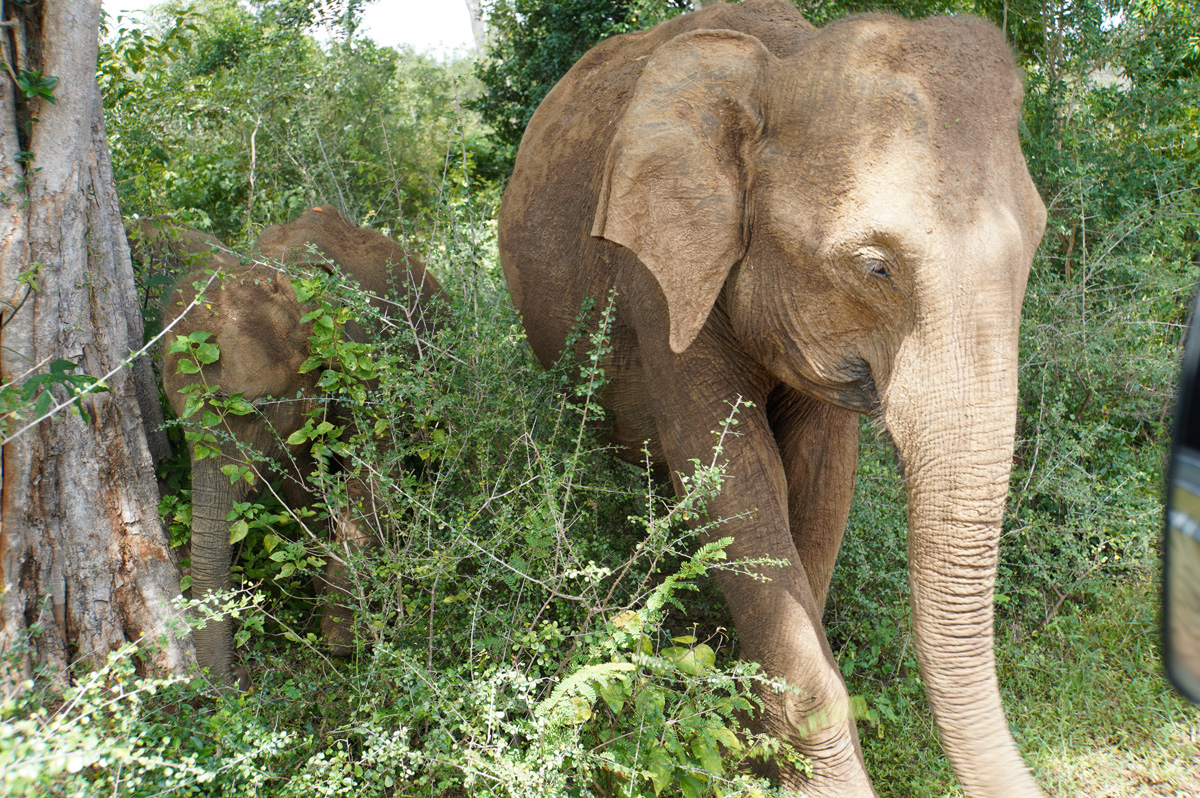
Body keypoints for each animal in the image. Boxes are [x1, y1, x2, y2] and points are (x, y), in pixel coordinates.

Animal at [161, 206, 444, 685]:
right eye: (177, 420)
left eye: (256, 406)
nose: (240, 679)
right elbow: (302, 490)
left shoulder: (367, 364)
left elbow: (375, 480)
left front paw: (344, 643)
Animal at [497, 1, 1046, 796]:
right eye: (876, 267)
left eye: (1036, 245)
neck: (782, 64)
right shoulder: (661, 276)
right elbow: (736, 481)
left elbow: (819, 483)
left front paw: (762, 744)